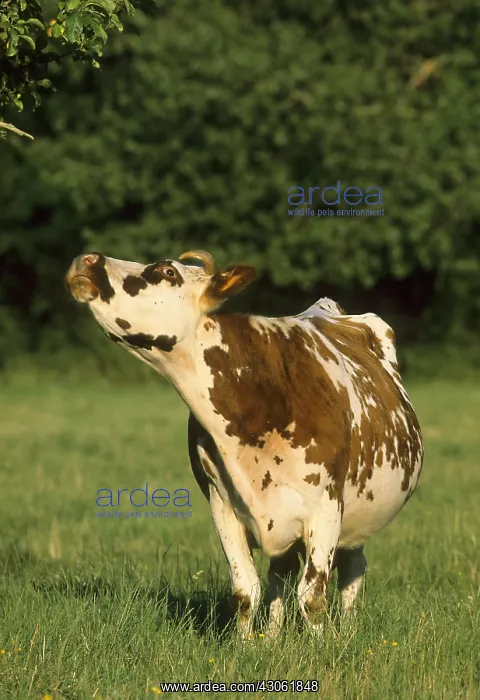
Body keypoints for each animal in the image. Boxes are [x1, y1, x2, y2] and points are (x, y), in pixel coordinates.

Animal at [65, 249, 424, 638]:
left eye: (168, 271)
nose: (88, 258)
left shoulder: (326, 507)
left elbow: (313, 597)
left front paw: (322, 648)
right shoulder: (223, 504)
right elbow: (245, 591)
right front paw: (249, 646)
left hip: (361, 514)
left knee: (352, 570)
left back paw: (347, 632)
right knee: (281, 574)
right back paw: (273, 638)